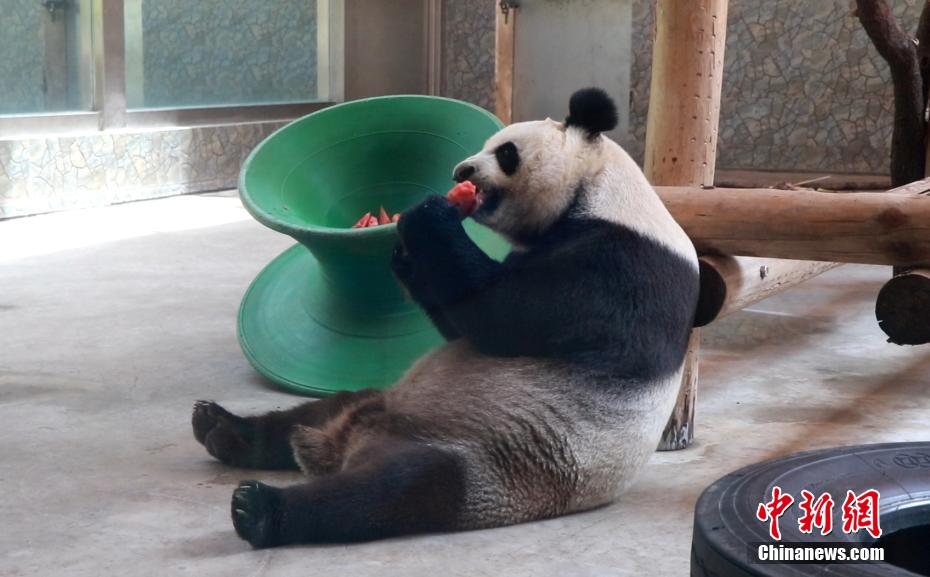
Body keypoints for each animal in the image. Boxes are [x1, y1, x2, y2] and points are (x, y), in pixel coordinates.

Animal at [190, 88, 696, 548]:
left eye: (506, 152)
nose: (461, 172)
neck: (599, 190)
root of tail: (347, 444)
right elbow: (460, 323)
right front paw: (405, 254)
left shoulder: (619, 267)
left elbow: (501, 315)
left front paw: (429, 214)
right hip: (387, 400)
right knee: (316, 412)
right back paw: (224, 429)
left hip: (493, 464)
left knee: (396, 492)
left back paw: (261, 509)